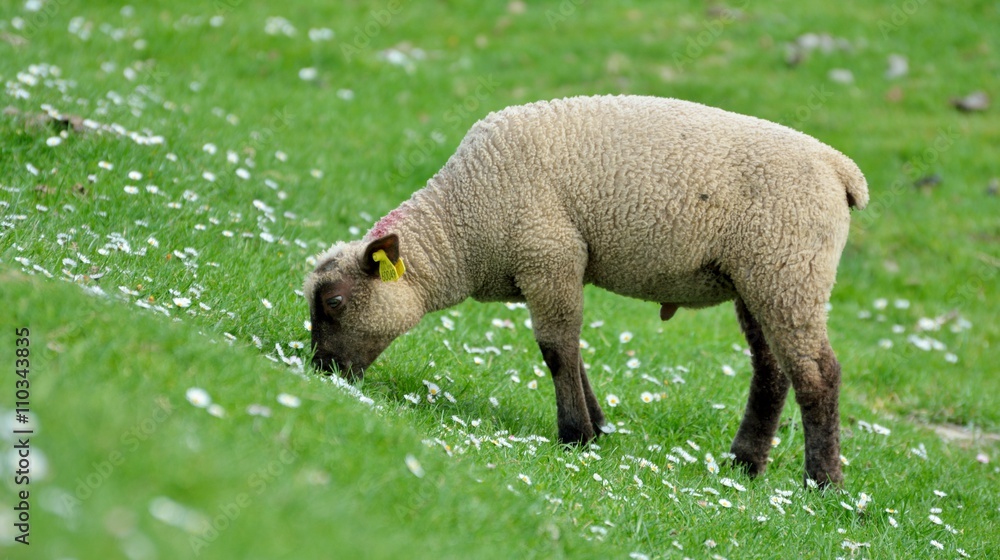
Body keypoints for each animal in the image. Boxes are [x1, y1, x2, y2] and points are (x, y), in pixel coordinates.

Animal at [304, 95, 868, 487]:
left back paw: (822, 482)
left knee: (818, 374)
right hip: (758, 278)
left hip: (789, 269)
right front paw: (597, 427)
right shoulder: (554, 269)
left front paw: (575, 435)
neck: (462, 223)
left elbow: (557, 350)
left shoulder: (548, 256)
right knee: (771, 372)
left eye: (335, 302)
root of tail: (841, 170)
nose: (320, 370)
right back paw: (744, 464)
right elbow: (573, 351)